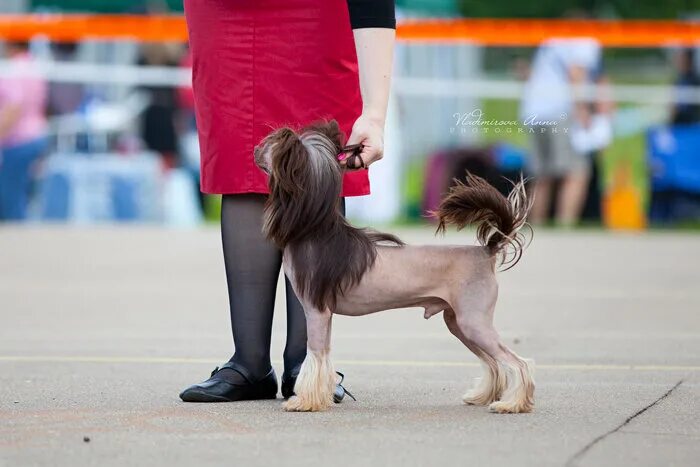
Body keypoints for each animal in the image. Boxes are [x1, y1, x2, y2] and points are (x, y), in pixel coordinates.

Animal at [258, 122, 536, 414]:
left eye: (270, 144)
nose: (254, 149)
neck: (314, 229)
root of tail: (485, 252)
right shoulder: (327, 315)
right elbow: (323, 357)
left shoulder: (316, 311)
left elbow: (315, 356)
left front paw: (305, 401)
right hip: (458, 323)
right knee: (493, 362)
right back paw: (483, 397)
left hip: (473, 321)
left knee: (516, 362)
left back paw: (512, 404)